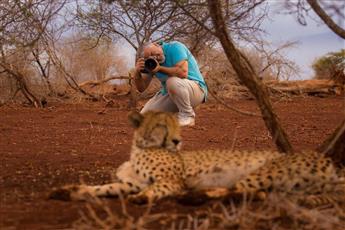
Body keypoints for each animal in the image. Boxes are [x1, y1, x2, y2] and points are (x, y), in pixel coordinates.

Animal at [49, 110, 342, 204]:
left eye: (178, 126)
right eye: (162, 125)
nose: (178, 141)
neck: (140, 148)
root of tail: (332, 164)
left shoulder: (170, 181)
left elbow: (154, 189)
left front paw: (143, 198)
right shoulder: (130, 182)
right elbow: (104, 188)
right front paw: (70, 190)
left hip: (265, 169)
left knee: (242, 190)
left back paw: (195, 197)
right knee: (259, 194)